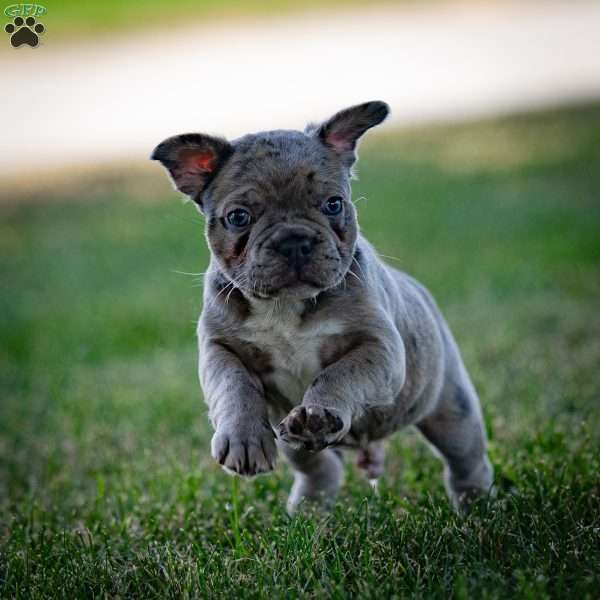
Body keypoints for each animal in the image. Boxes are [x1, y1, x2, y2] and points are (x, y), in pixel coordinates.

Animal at [152, 102, 494, 510]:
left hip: (452, 409)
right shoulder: (219, 349)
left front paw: (319, 412)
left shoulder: (378, 348)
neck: (285, 307)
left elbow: (338, 374)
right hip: (292, 442)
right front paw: (242, 438)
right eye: (238, 217)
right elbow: (233, 387)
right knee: (319, 468)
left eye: (333, 204)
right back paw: (310, 510)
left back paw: (475, 502)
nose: (293, 241)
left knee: (465, 457)